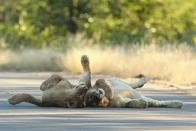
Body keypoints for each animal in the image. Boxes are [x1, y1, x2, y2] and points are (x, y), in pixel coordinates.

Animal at [7, 54, 182, 108]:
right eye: (92, 99)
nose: (99, 95)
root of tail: (45, 101)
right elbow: (102, 81)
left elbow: (158, 102)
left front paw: (176, 103)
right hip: (74, 85)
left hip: (74, 84)